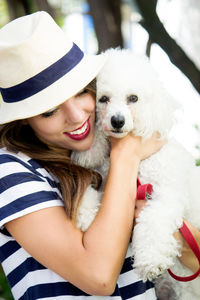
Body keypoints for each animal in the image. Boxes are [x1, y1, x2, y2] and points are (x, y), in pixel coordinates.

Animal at [71, 48, 200, 298]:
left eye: (133, 98)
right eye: (103, 99)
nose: (117, 120)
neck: (137, 164)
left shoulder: (164, 194)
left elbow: (154, 219)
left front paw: (151, 260)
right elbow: (88, 195)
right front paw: (89, 215)